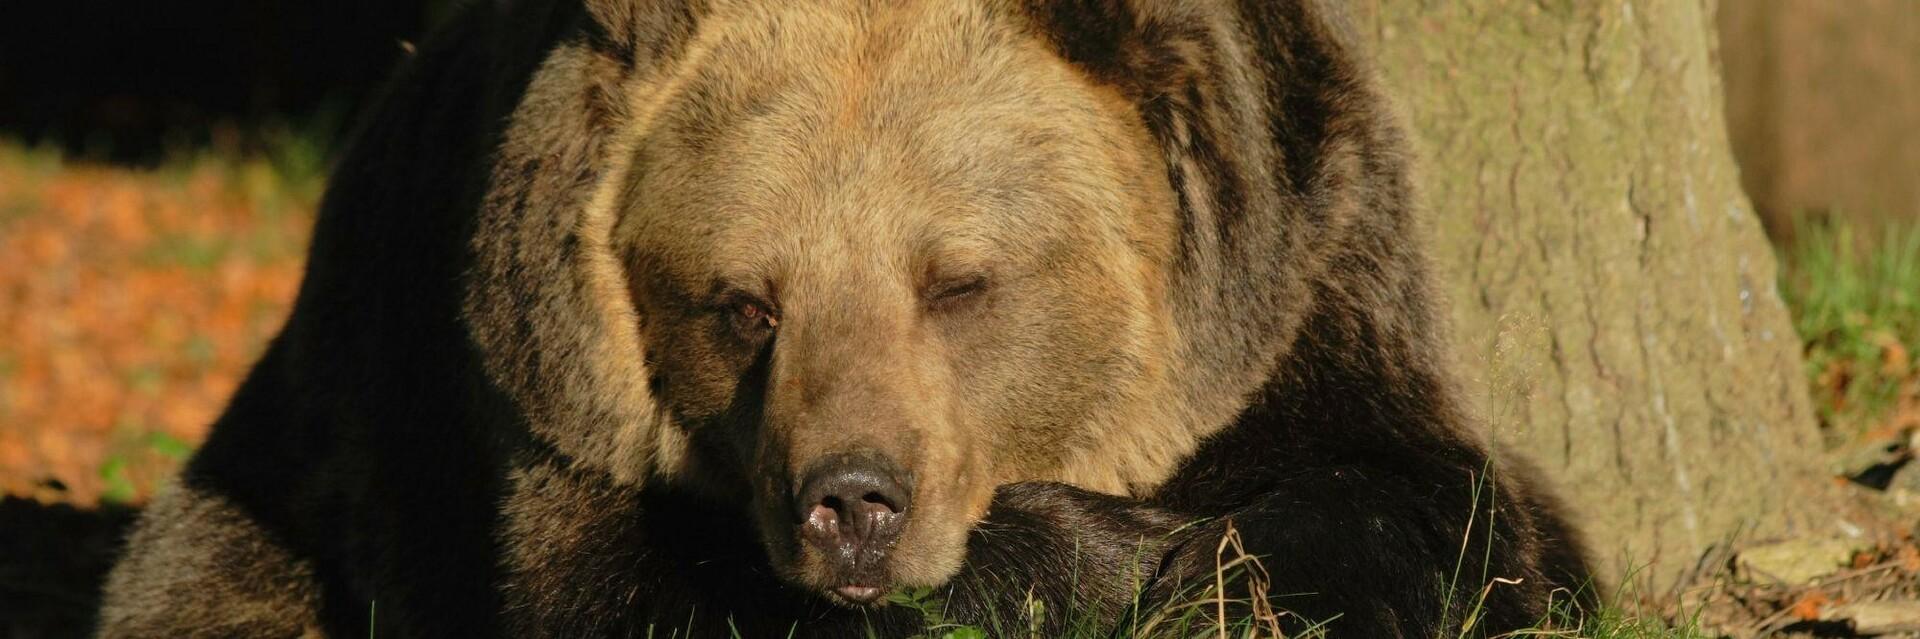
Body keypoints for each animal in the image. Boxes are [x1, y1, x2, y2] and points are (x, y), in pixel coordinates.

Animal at [99, 0, 1596, 636]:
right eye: (740, 301)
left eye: (959, 280)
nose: (852, 501)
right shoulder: (531, 407)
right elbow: (627, 589)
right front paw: (1087, 557)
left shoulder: (1310, 272)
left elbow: (1433, 514)